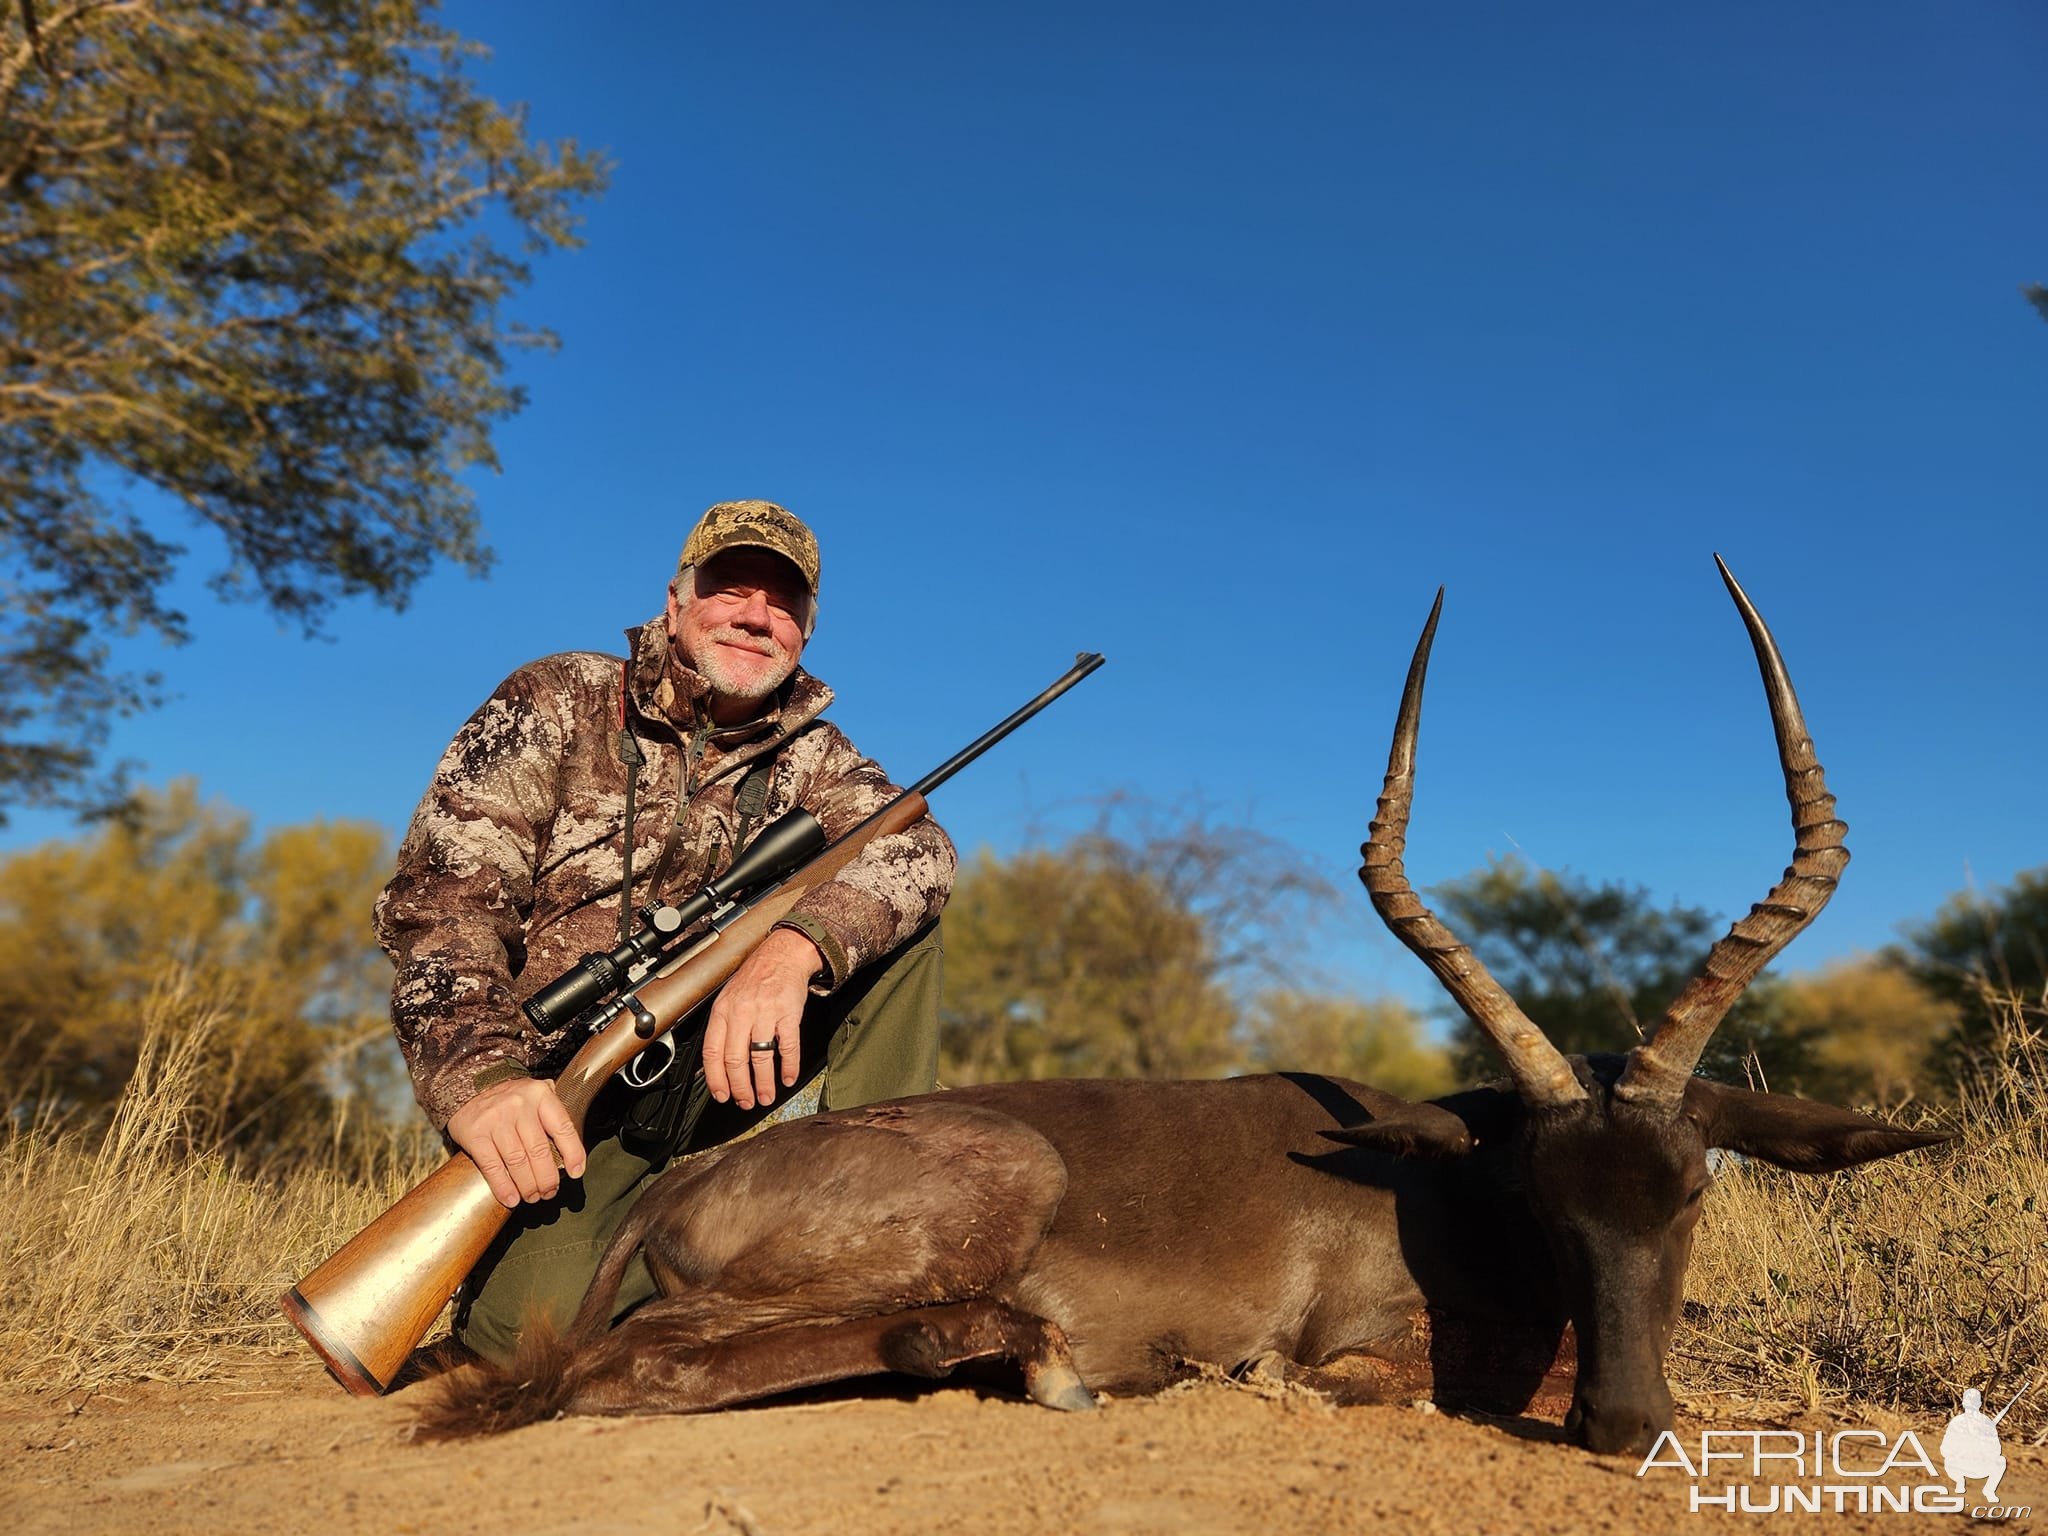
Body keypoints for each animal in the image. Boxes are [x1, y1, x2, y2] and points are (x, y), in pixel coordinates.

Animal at [428, 561, 1949, 1458]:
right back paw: (1041, 1365)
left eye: (1687, 1190)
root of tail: (679, 1186)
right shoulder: (1362, 1348)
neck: (1445, 1179)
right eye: (1545, 1194)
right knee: (628, 1365)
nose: (1629, 1425)